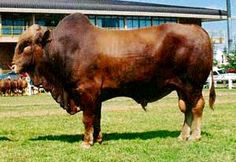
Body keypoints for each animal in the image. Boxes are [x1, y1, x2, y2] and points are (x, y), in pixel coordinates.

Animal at [12, 13, 216, 149]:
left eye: (26, 45)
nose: (13, 66)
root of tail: (198, 29)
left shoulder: (86, 91)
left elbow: (87, 118)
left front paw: (86, 142)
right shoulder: (97, 96)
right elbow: (96, 118)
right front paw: (98, 139)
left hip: (193, 85)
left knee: (197, 107)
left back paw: (195, 136)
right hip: (181, 87)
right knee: (186, 108)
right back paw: (183, 136)